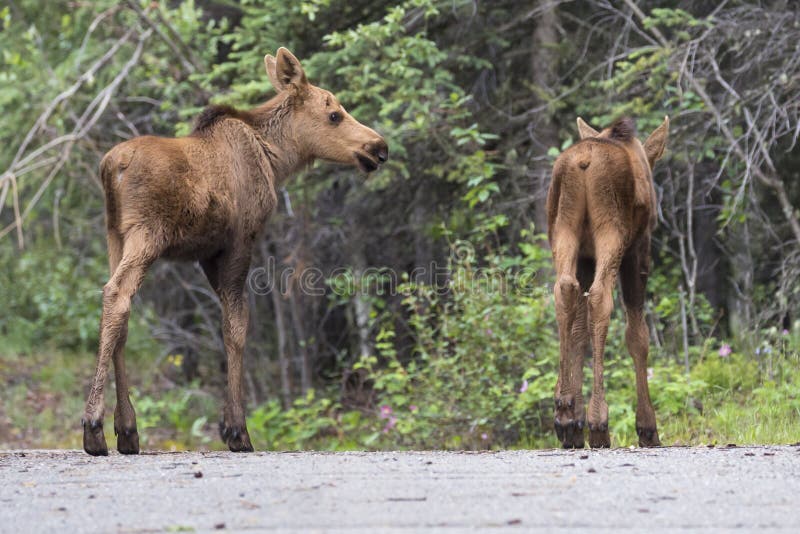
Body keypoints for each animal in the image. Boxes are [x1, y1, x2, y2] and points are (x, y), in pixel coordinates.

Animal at [83, 48, 390, 456]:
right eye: (334, 114)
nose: (379, 148)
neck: (276, 159)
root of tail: (109, 168)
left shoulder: (208, 253)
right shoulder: (241, 240)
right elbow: (236, 326)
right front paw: (236, 429)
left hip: (113, 236)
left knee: (120, 312)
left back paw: (128, 429)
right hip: (145, 234)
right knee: (116, 295)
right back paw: (94, 427)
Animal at [552, 116, 668, 448]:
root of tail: (584, 161)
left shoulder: (585, 257)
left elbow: (579, 330)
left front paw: (573, 417)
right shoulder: (638, 249)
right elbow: (637, 335)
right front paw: (647, 427)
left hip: (563, 227)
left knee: (564, 291)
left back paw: (565, 415)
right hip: (611, 231)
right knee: (601, 298)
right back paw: (599, 423)